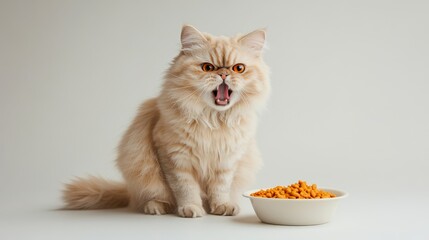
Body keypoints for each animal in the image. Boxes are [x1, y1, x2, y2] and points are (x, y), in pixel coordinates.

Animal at [61, 24, 270, 218]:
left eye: (238, 68)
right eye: (208, 68)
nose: (224, 74)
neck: (212, 120)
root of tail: (129, 193)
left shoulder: (227, 161)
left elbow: (220, 189)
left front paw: (222, 206)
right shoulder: (175, 157)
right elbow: (186, 188)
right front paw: (191, 208)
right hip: (143, 172)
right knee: (155, 197)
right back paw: (156, 207)